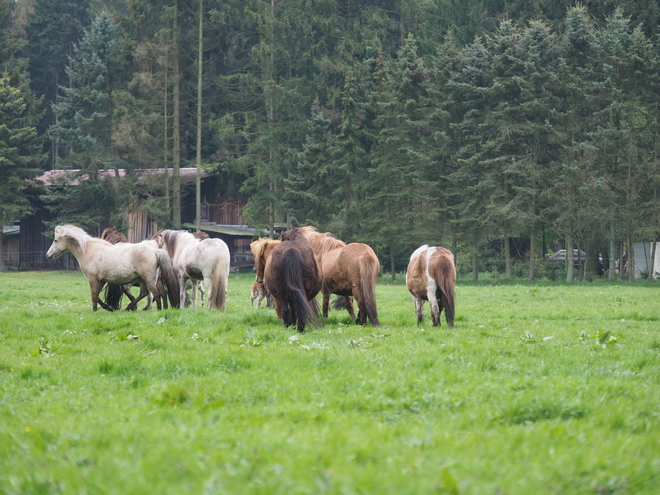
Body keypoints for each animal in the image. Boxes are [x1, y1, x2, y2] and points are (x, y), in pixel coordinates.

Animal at [45, 226, 180, 312]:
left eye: (55, 240)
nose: (48, 255)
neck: (88, 250)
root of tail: (155, 251)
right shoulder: (101, 280)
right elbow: (97, 296)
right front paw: (108, 308)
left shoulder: (93, 279)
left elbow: (94, 295)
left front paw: (95, 310)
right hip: (143, 279)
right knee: (146, 293)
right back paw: (132, 307)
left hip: (149, 279)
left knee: (156, 294)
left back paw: (157, 310)